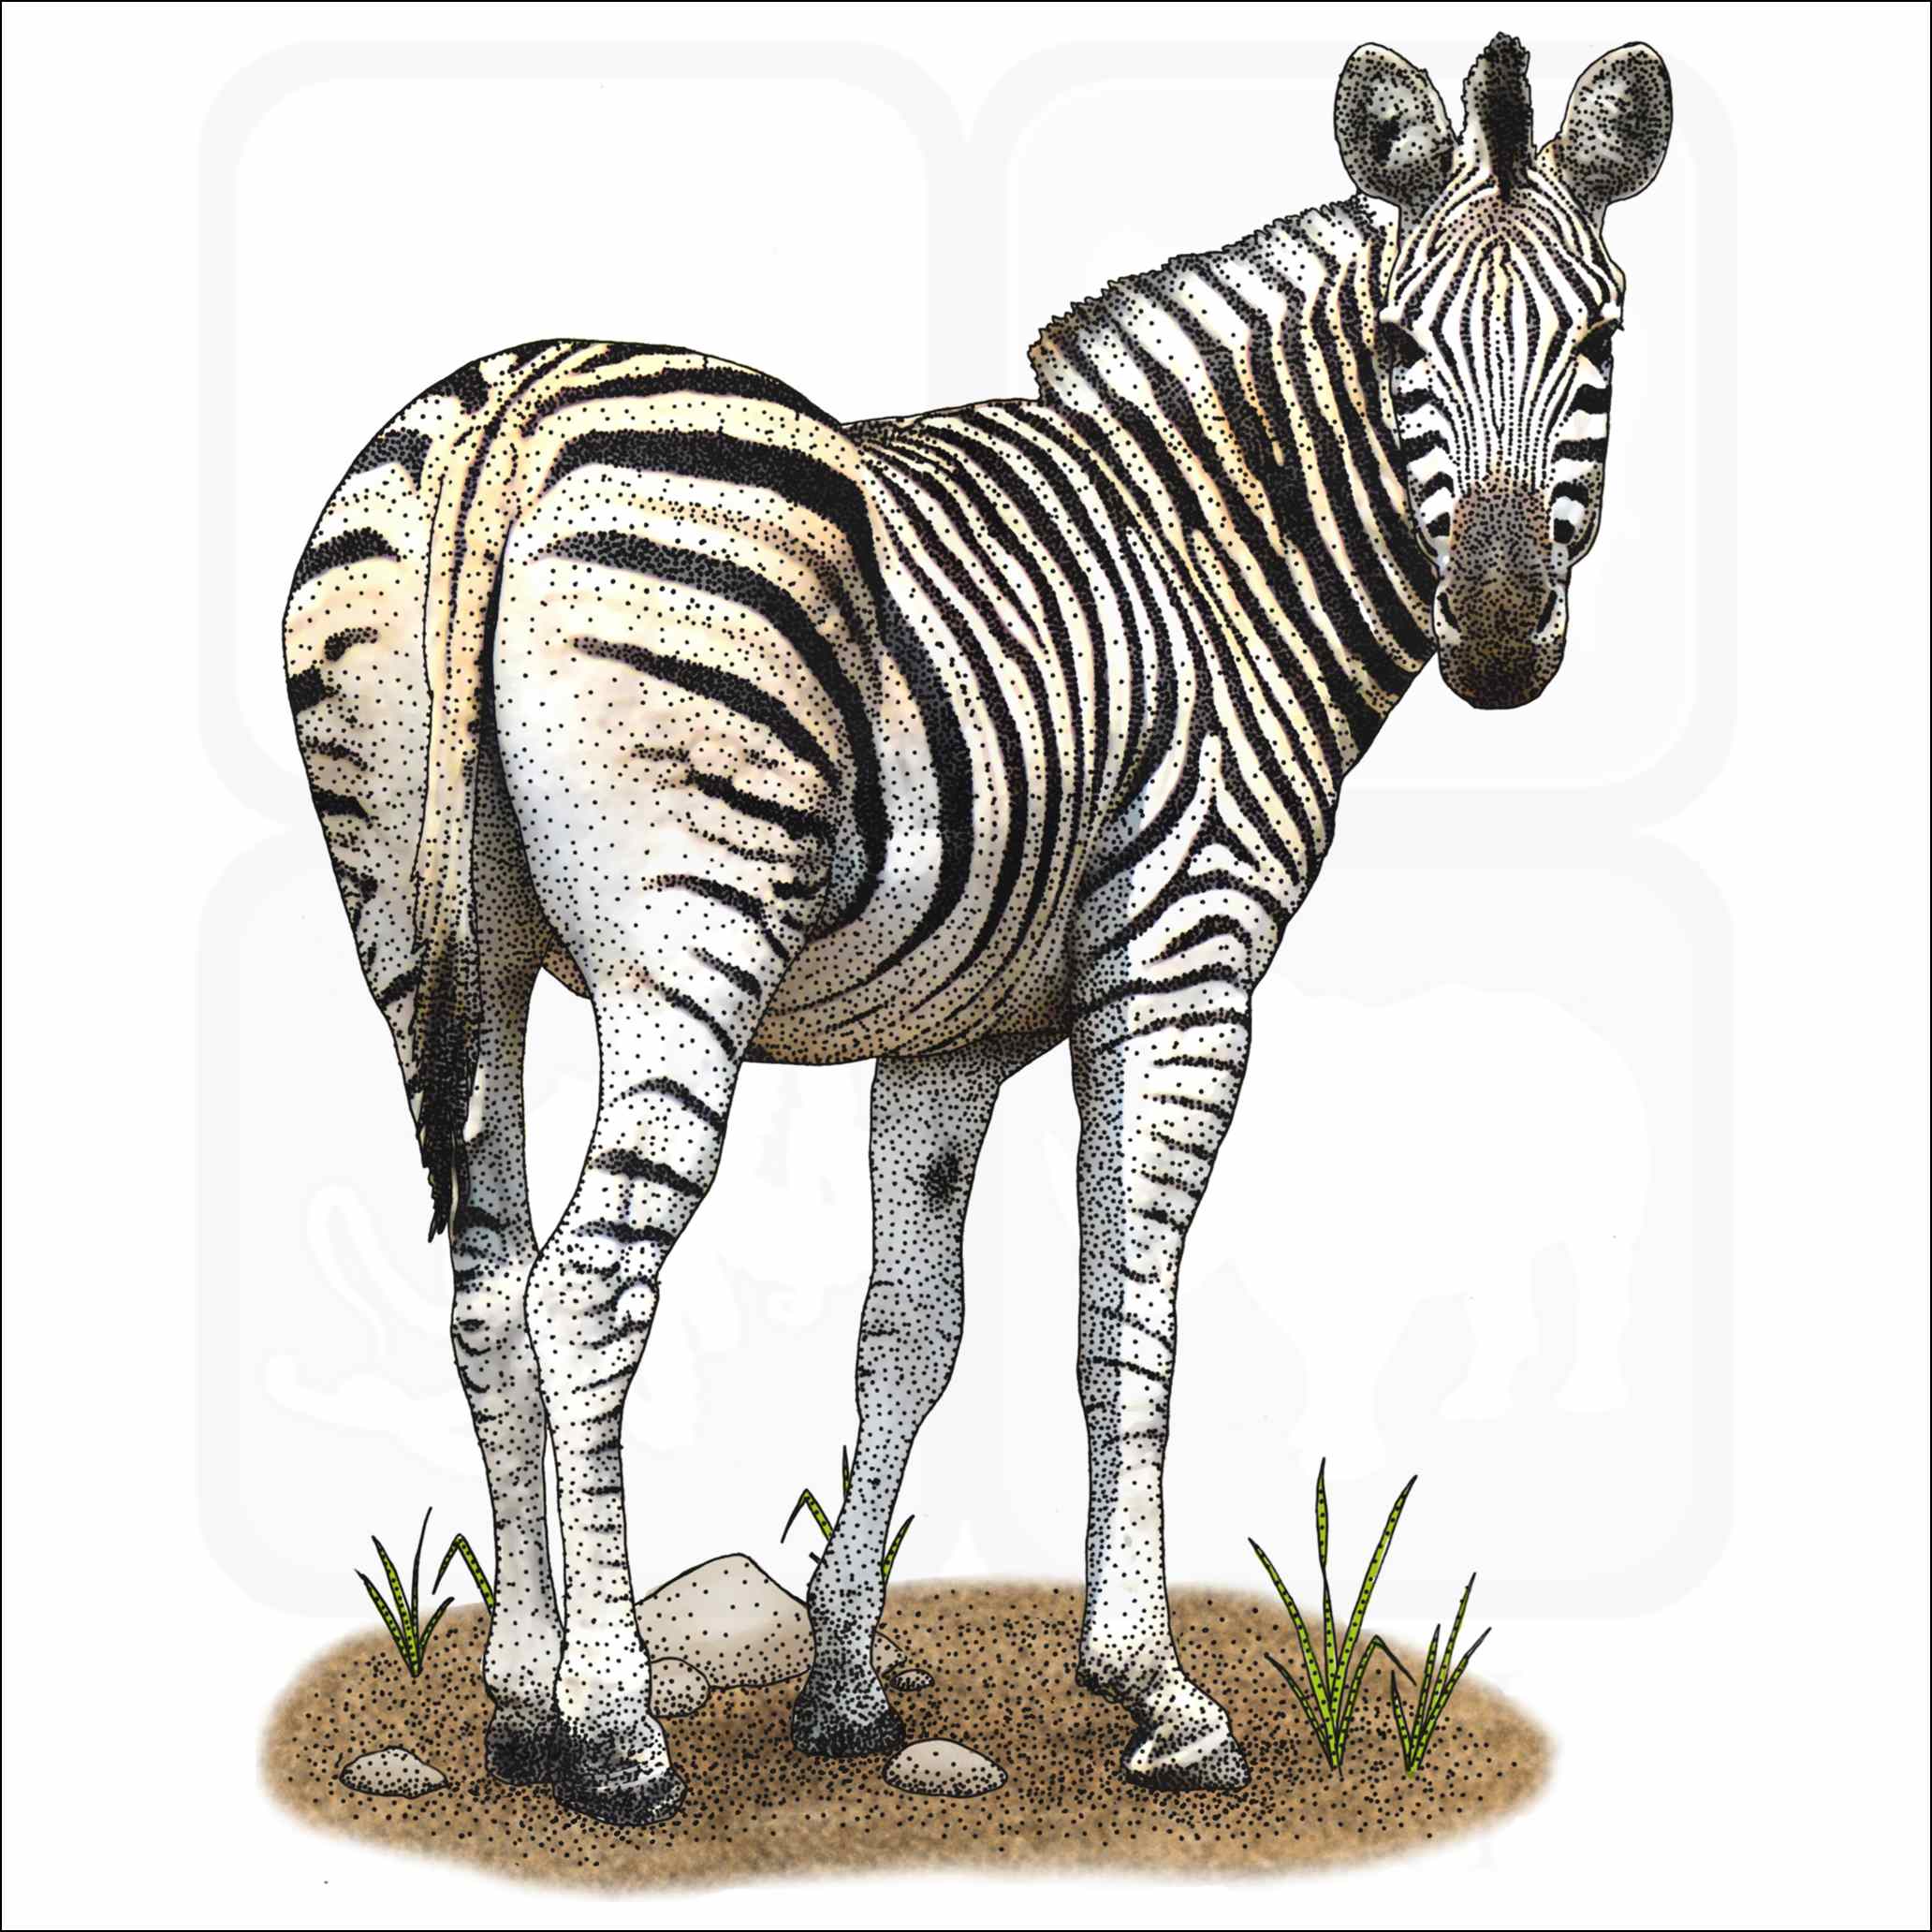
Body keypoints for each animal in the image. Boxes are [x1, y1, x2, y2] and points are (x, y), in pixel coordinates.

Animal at [283, 33, 1671, 1825]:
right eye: (1397, 344)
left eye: (1600, 338)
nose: (1497, 632)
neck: (1221, 553)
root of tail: (510, 415)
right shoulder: (1182, 962)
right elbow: (1124, 1320)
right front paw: (1154, 1688)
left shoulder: (950, 1032)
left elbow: (909, 1334)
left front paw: (846, 1683)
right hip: (683, 940)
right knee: (584, 1285)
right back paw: (613, 1727)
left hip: (434, 945)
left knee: (485, 1279)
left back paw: (521, 1698)